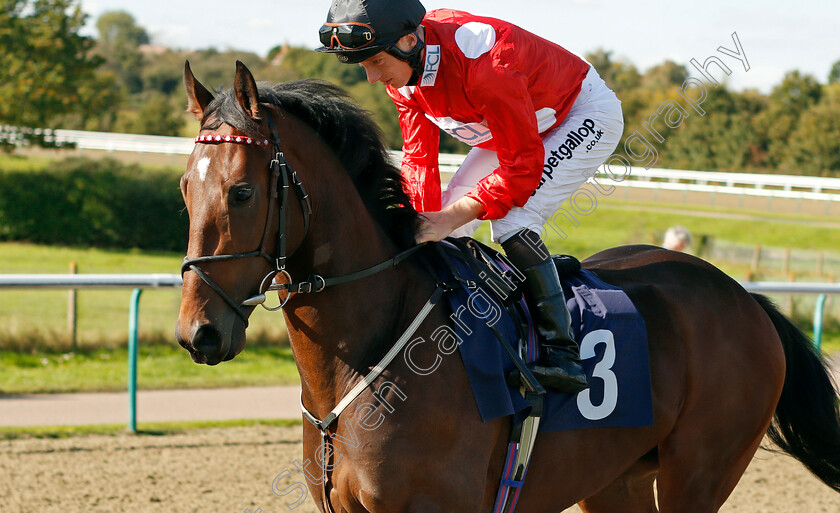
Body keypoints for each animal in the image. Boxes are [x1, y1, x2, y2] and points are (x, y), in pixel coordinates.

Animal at [176, 61, 840, 512]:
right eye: (185, 186)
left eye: (242, 191)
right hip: (616, 477)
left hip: (699, 476)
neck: (369, 358)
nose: (197, 333)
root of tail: (746, 298)